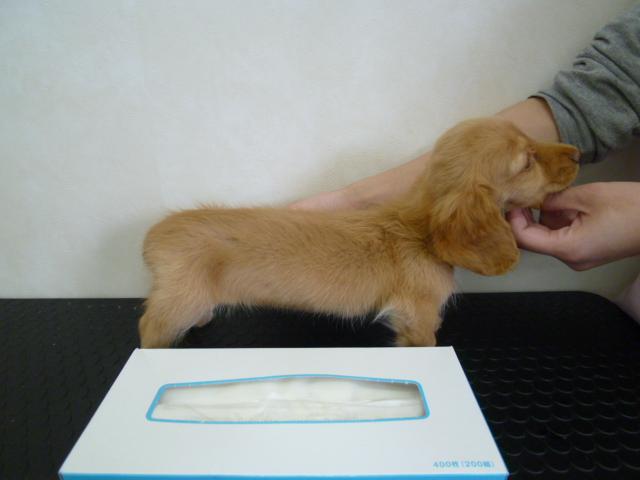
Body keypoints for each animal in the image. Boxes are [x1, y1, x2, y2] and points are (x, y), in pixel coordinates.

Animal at [139, 118, 579, 348]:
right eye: (527, 162)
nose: (576, 153)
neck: (419, 230)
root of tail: (156, 235)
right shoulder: (414, 313)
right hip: (179, 302)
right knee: (148, 328)